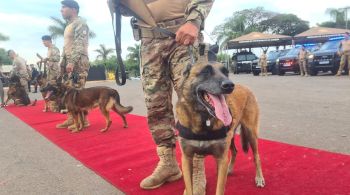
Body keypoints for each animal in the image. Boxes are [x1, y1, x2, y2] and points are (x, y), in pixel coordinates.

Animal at [176, 59, 264, 195]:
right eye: (205, 71)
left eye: (226, 72)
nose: (229, 85)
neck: (204, 119)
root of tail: (246, 87)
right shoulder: (187, 159)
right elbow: (189, 188)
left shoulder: (221, 159)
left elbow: (220, 189)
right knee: (235, 151)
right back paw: (230, 169)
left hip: (251, 134)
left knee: (256, 157)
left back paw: (259, 177)